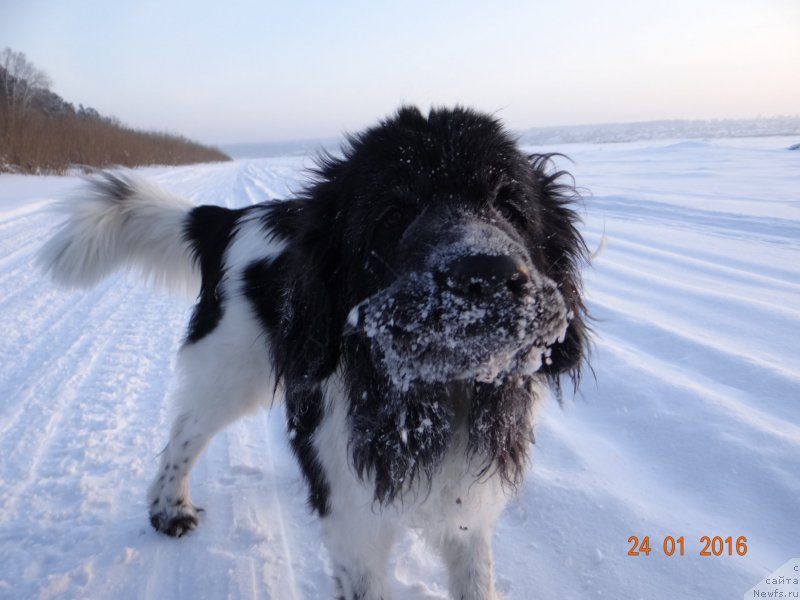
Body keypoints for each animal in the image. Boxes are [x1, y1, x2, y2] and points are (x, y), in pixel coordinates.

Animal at [37, 105, 588, 596]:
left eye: (510, 206)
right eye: (392, 213)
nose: (487, 273)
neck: (430, 397)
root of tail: (230, 219)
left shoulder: (466, 517)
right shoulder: (356, 536)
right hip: (229, 373)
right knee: (183, 437)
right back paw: (169, 508)